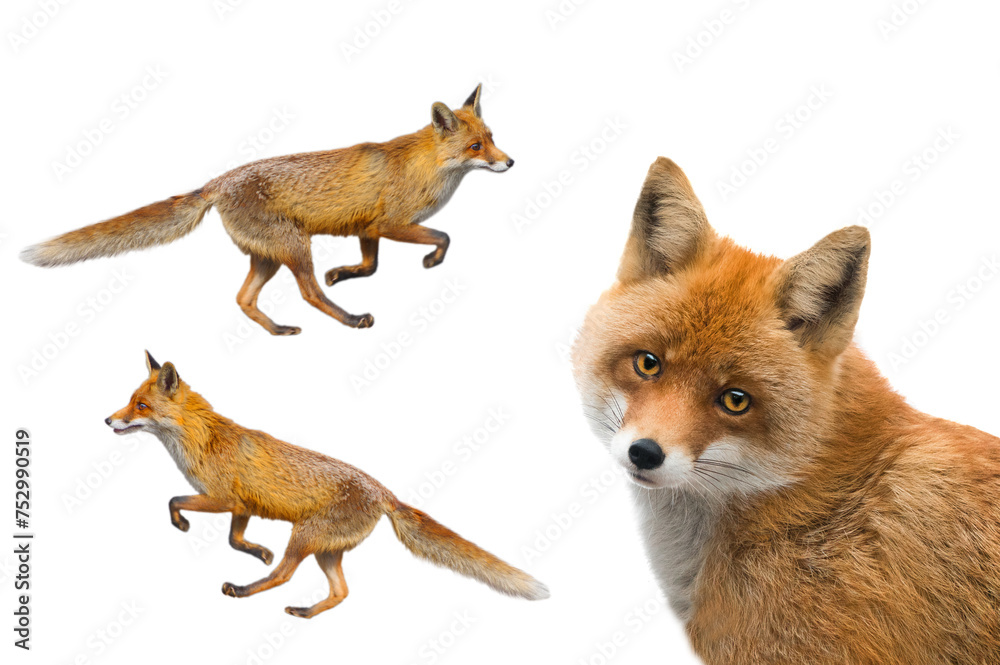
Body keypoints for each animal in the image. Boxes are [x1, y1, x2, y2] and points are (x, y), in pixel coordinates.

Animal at [22, 84, 512, 335]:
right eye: (475, 147)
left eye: (491, 138)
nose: (509, 162)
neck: (425, 167)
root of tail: (217, 183)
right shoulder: (392, 223)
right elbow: (443, 236)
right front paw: (431, 260)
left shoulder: (366, 226)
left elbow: (370, 266)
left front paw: (344, 272)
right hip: (294, 248)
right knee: (308, 294)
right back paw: (350, 319)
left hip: (268, 256)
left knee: (243, 299)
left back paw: (278, 330)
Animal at [104, 351, 548, 618]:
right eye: (129, 401)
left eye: (140, 406)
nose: (108, 420)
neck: (203, 440)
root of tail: (384, 493)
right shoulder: (243, 506)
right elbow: (234, 539)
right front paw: (258, 550)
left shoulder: (221, 498)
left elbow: (173, 499)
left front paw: (181, 524)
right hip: (325, 550)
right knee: (341, 592)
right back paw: (304, 611)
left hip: (305, 537)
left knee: (285, 576)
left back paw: (245, 591)